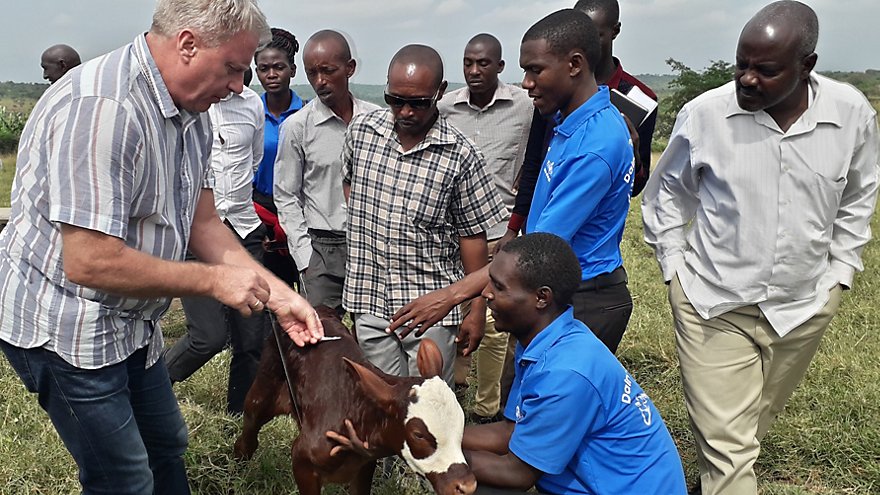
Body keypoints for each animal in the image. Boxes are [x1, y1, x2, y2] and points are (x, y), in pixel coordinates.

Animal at [230, 308, 470, 494]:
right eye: (418, 434)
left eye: (461, 423)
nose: (466, 485)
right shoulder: (302, 459)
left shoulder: (364, 466)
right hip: (262, 391)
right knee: (247, 439)